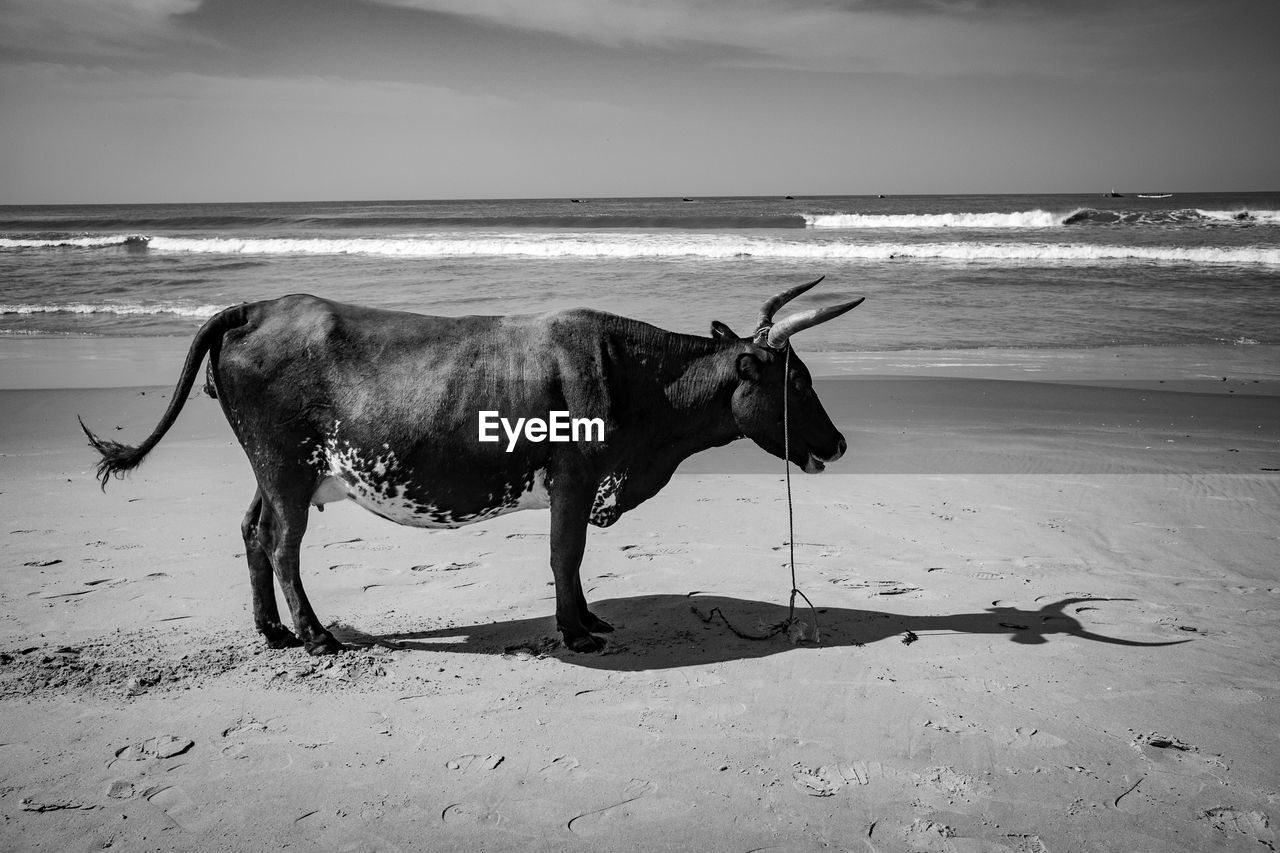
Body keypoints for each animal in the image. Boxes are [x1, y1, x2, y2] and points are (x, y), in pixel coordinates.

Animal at [80, 277, 860, 650]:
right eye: (798, 381)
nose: (839, 444)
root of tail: (256, 307)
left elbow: (572, 559)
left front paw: (590, 620)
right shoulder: (575, 478)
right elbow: (565, 553)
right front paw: (576, 631)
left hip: (274, 473)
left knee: (251, 533)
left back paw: (272, 632)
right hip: (286, 467)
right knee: (281, 545)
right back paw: (315, 637)